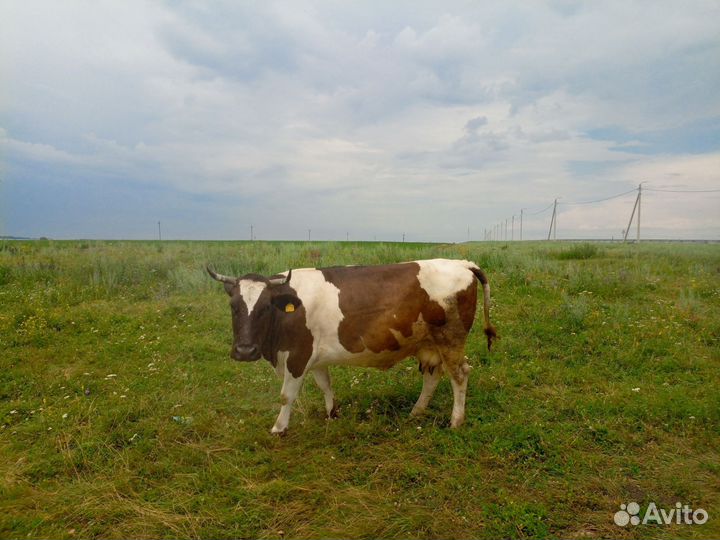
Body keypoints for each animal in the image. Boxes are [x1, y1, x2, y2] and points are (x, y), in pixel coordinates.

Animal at [207, 259, 496, 434]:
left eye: (265, 307)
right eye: (233, 306)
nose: (245, 351)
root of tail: (462, 263)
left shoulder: (297, 356)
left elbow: (286, 395)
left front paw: (279, 428)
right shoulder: (315, 357)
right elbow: (326, 385)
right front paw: (332, 413)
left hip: (450, 339)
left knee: (460, 375)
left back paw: (456, 420)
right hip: (428, 344)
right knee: (432, 377)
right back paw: (416, 412)